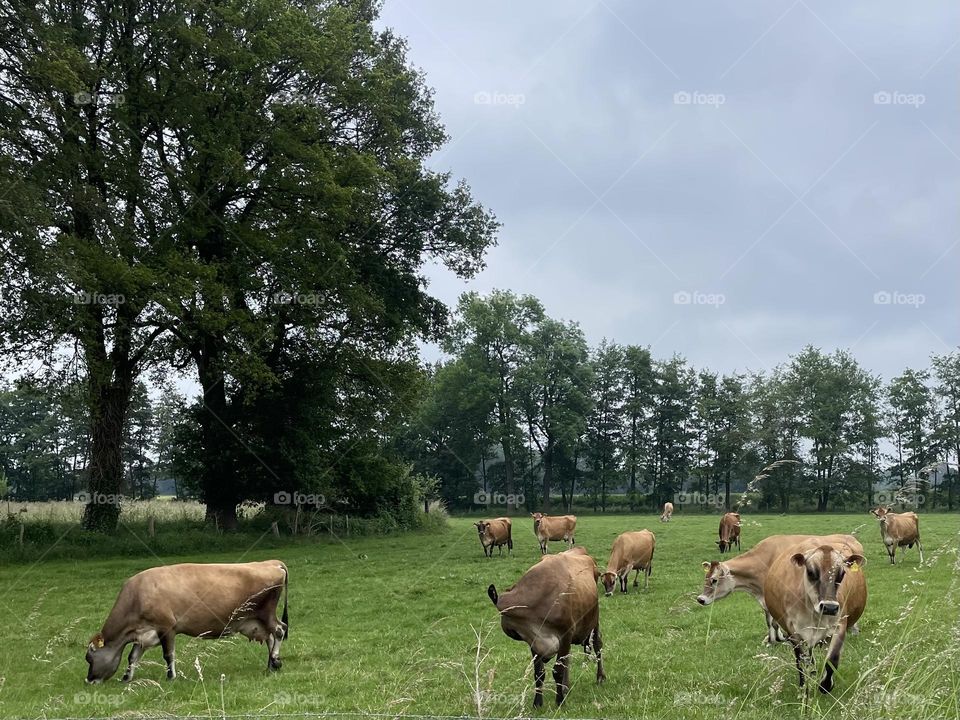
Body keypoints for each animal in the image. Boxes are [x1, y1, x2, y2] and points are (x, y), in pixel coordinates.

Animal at [85, 561, 288, 683]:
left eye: (89, 658)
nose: (89, 680)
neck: (138, 595)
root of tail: (270, 562)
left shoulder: (166, 627)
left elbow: (168, 655)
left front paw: (171, 677)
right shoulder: (144, 634)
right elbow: (132, 657)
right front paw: (127, 678)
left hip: (266, 613)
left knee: (279, 630)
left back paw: (275, 660)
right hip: (256, 620)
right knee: (270, 637)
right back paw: (270, 665)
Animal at [487, 547, 605, 708]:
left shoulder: (565, 634)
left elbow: (558, 670)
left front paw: (560, 701)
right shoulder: (534, 641)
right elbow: (539, 673)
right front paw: (538, 702)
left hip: (594, 620)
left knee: (597, 645)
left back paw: (600, 677)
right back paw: (566, 687)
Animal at [697, 533, 863, 644]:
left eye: (714, 580)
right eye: (705, 577)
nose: (700, 599)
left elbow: (774, 621)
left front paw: (777, 639)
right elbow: (770, 620)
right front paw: (773, 638)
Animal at [764, 542, 867, 693]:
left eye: (841, 574)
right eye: (811, 572)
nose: (829, 607)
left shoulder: (839, 625)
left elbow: (832, 659)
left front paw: (825, 685)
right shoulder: (793, 631)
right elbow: (800, 661)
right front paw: (803, 686)